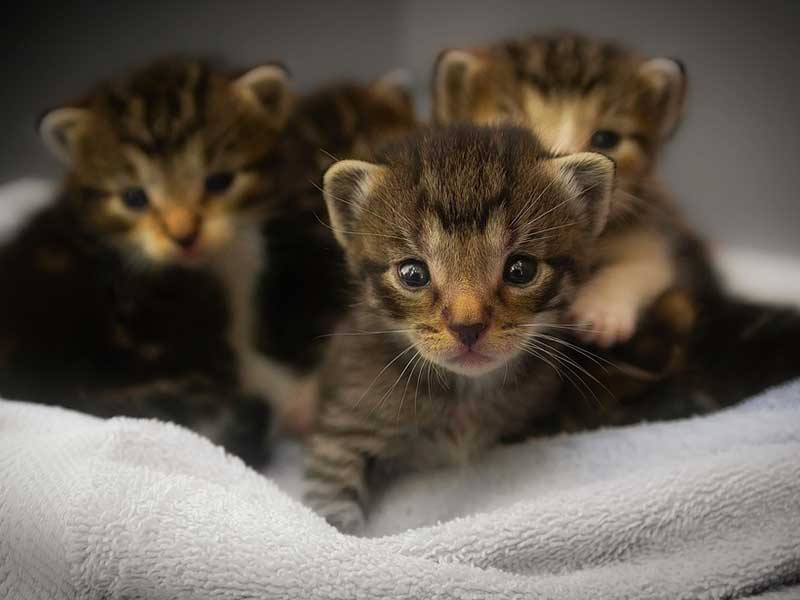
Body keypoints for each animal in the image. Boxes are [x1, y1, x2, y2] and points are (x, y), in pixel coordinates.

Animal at [304, 124, 616, 532]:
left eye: (521, 269)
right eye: (413, 273)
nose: (467, 327)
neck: (466, 395)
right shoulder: (345, 427)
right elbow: (329, 500)